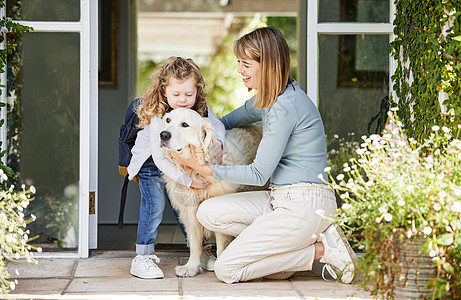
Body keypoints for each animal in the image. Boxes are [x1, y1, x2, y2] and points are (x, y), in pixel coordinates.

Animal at [161, 107, 262, 276]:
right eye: (168, 120)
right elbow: (195, 242)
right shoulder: (190, 211)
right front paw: (191, 266)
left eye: (185, 124)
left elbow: (221, 243)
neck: (197, 170)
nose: (163, 135)